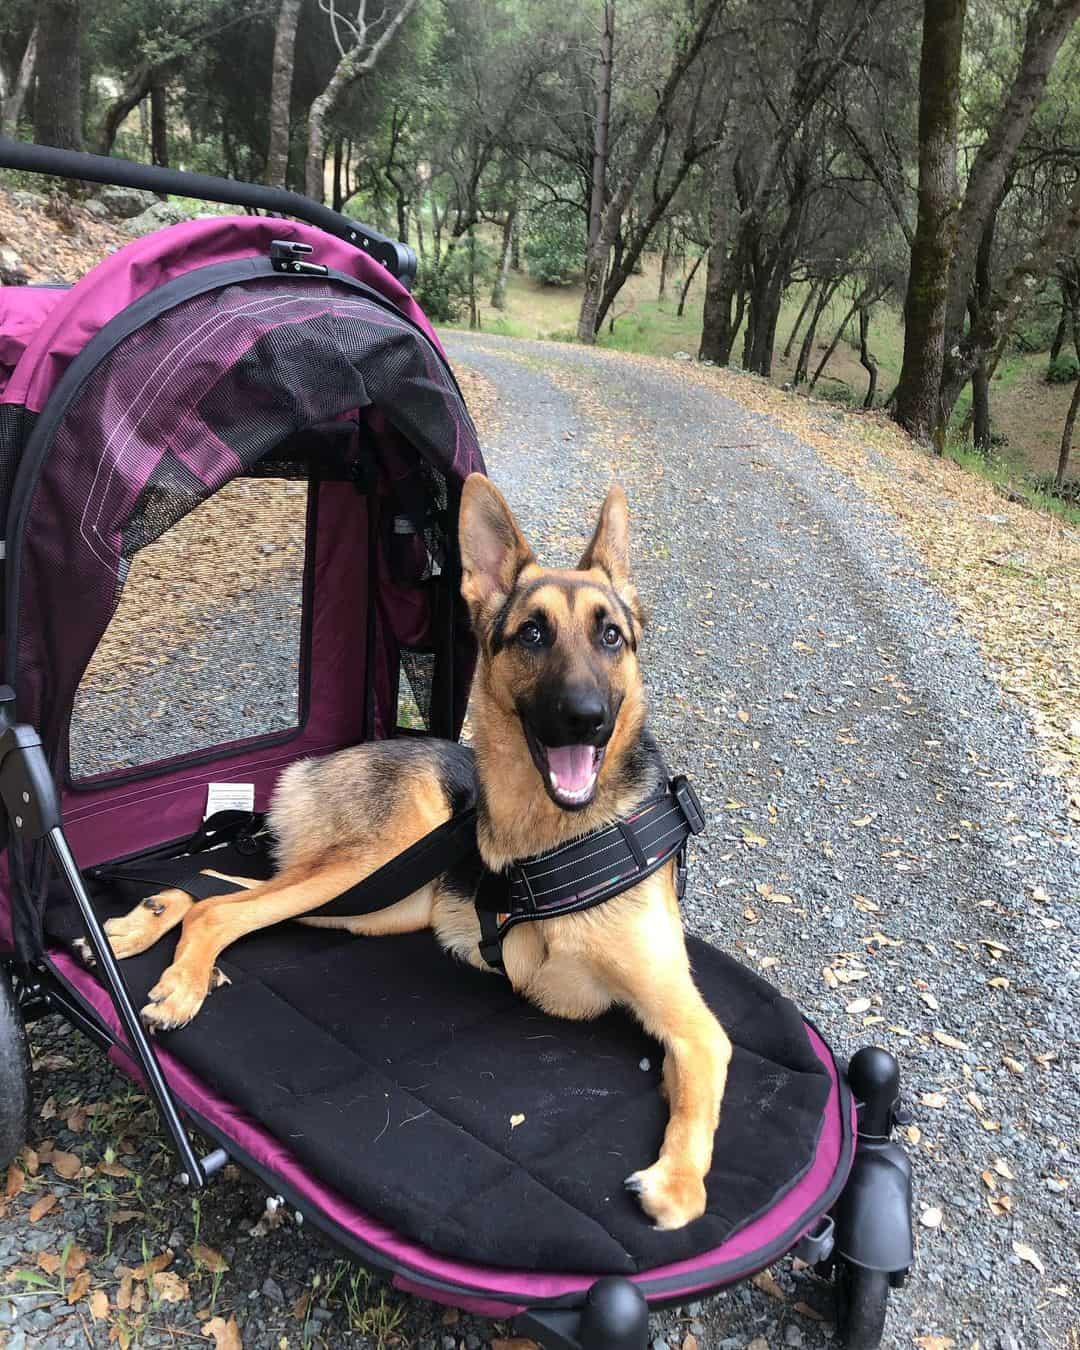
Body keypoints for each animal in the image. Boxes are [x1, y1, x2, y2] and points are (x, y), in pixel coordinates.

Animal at [105, 475, 729, 1236]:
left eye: (612, 635)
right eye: (533, 632)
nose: (586, 718)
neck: (552, 839)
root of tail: (314, 764)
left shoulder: (682, 1015)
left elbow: (696, 1073)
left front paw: (678, 1175)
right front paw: (680, 1183)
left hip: (374, 906)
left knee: (216, 895)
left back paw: (142, 921)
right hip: (370, 863)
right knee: (220, 909)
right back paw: (181, 978)